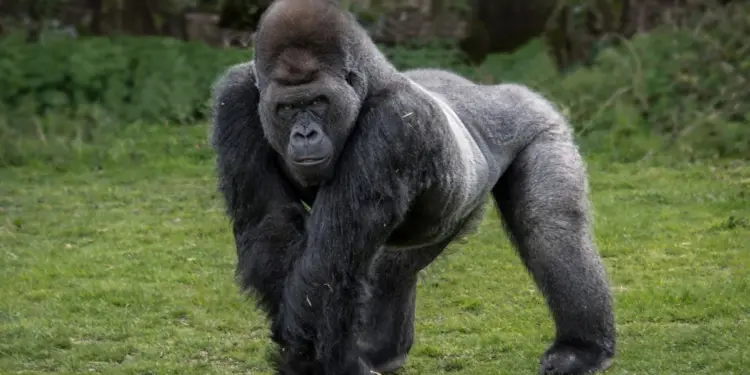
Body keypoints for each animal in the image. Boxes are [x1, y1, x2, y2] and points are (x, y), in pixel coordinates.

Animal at [210, 0, 616, 374]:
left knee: (550, 226)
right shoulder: (235, 97)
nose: (304, 134)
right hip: (458, 204)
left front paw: (313, 364)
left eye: (318, 102)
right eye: (287, 108)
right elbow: (271, 224)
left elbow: (327, 267)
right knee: (396, 262)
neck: (369, 81)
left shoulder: (393, 124)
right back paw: (380, 348)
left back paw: (581, 347)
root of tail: (498, 89)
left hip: (541, 122)